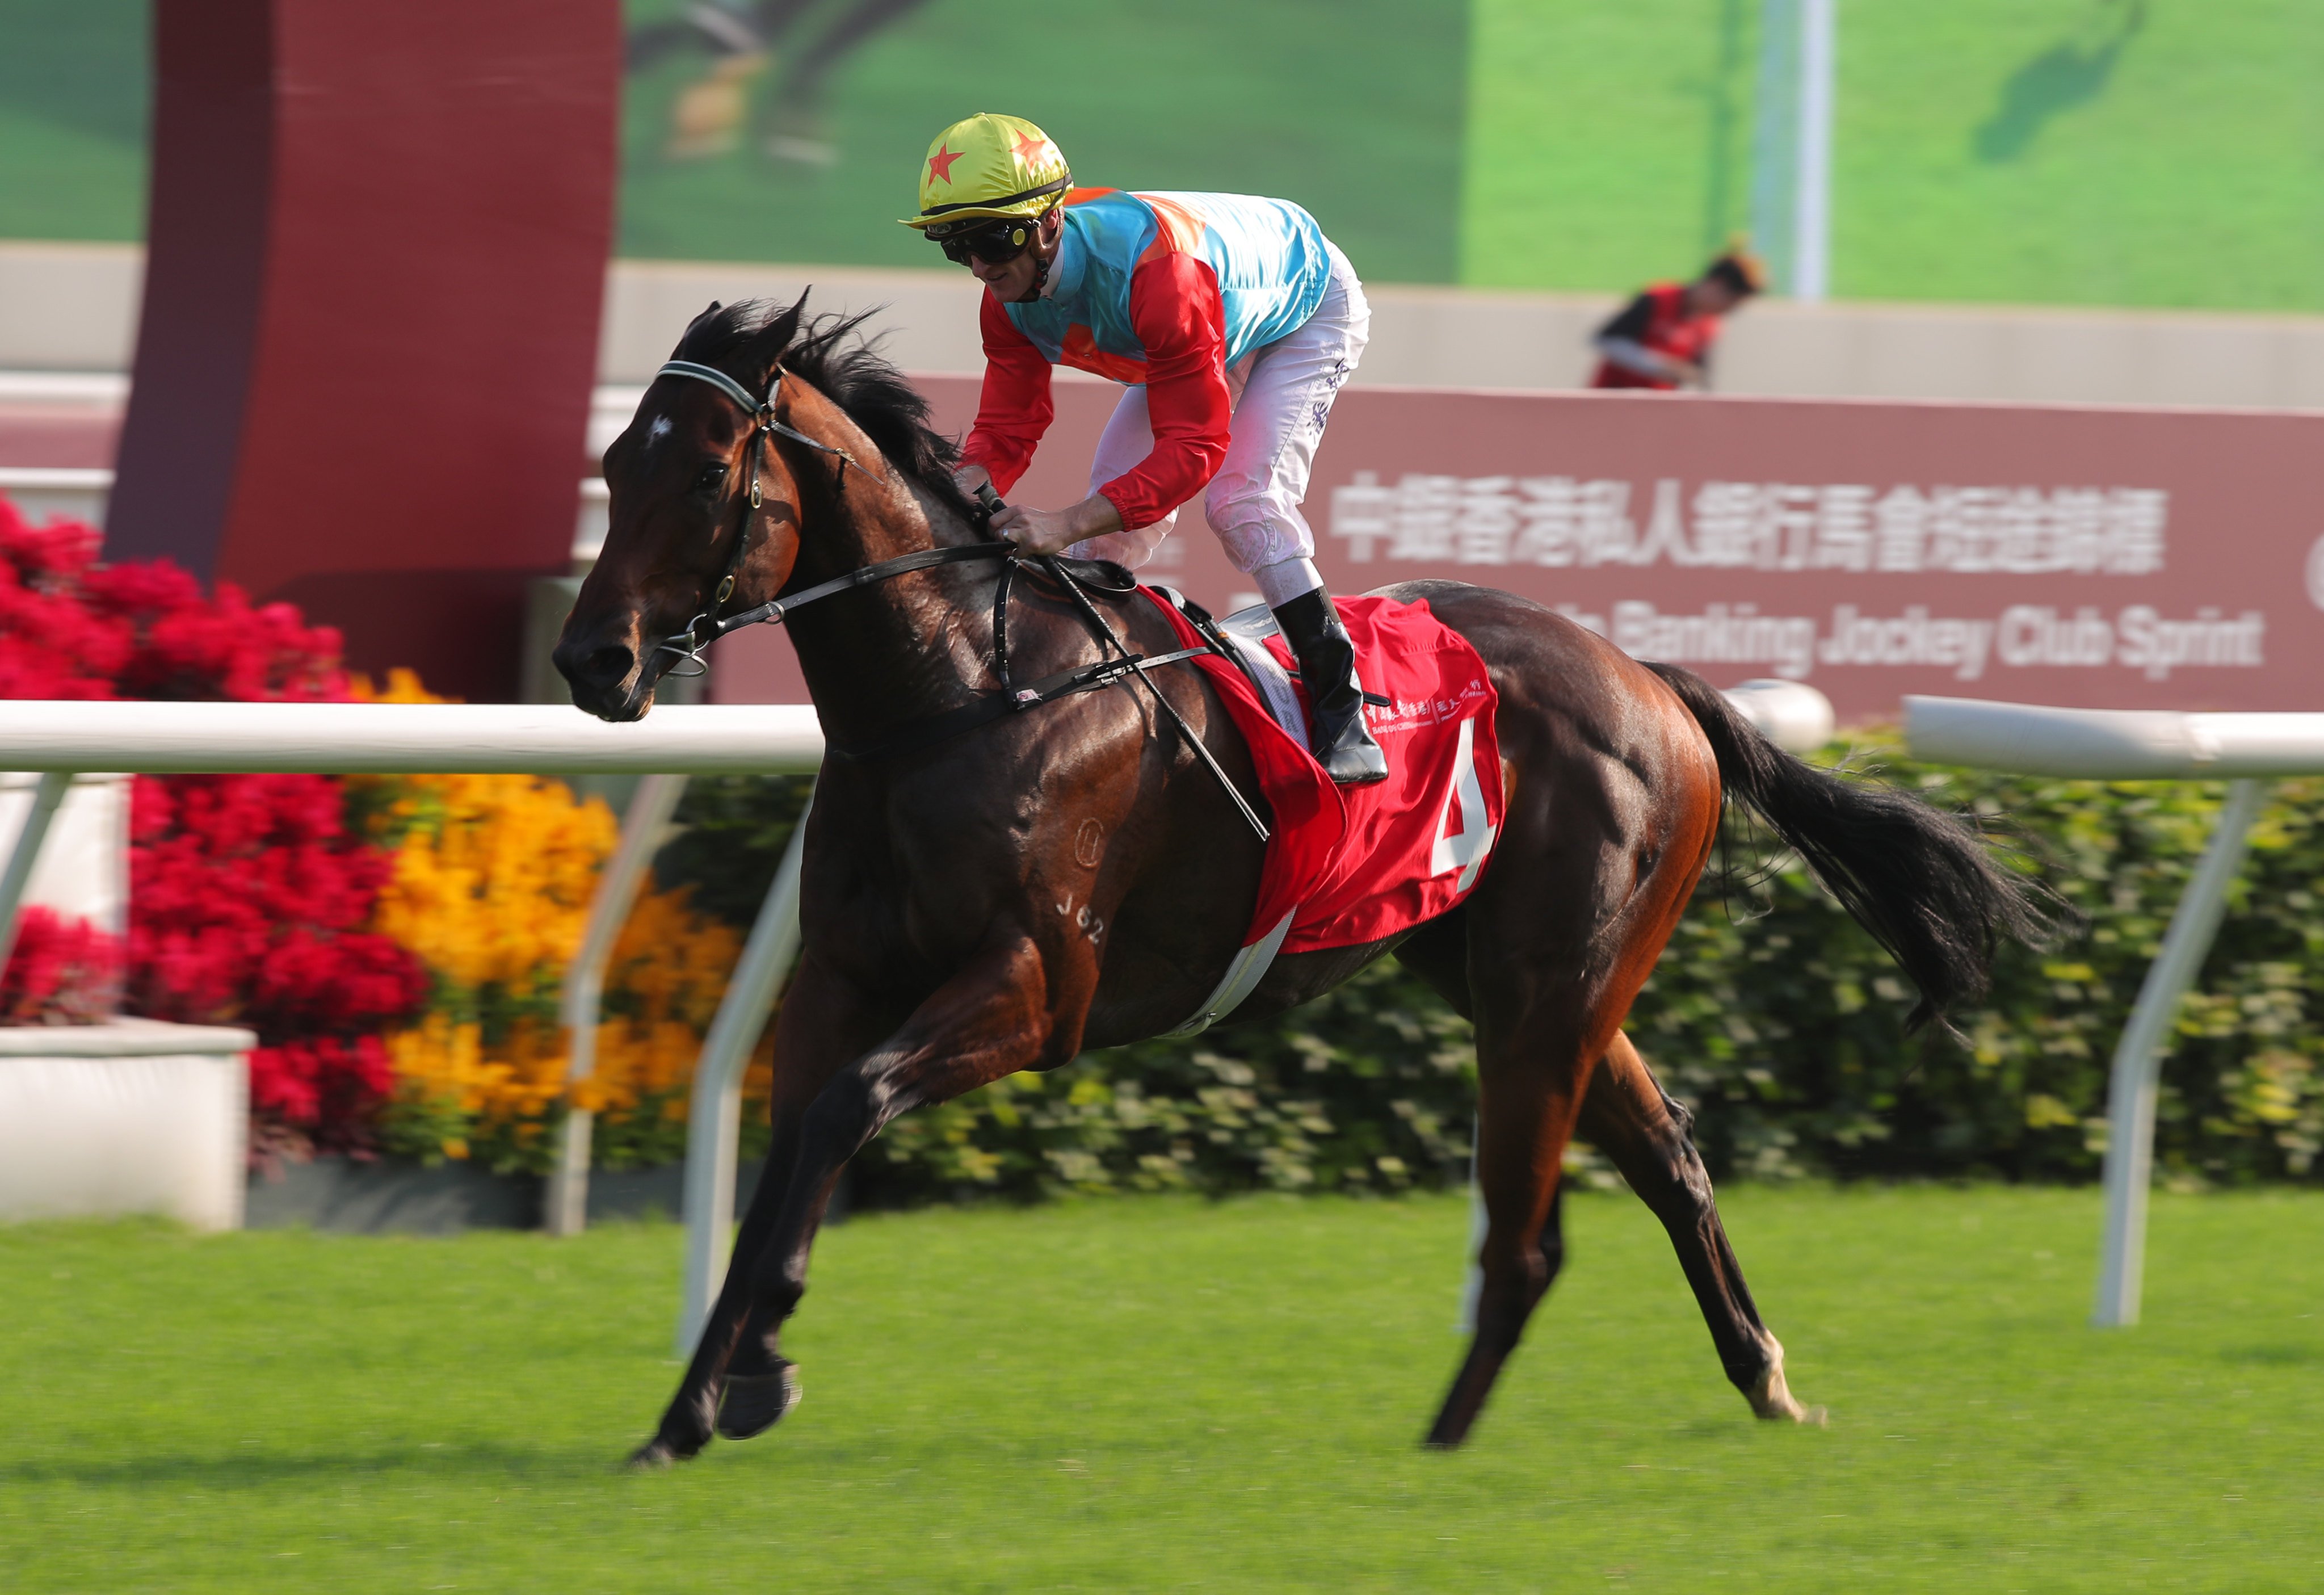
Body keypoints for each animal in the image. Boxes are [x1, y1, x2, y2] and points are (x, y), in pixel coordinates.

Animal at [553, 294, 2045, 1469]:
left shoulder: (1037, 991)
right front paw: (707, 1396)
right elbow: (786, 1157)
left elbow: (845, 1113)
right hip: (1519, 979)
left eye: (705, 478)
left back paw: (1443, 1443)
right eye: (614, 460)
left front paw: (739, 1376)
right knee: (1669, 1157)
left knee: (1530, 1233)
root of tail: (1654, 679)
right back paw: (1761, 1381)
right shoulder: (841, 973)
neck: (960, 692)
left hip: (1547, 985)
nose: (591, 661)